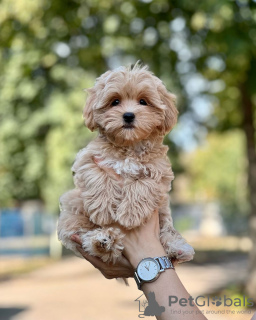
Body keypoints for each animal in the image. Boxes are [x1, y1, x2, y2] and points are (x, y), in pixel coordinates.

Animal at [57, 62, 194, 264]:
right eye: (115, 101)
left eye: (143, 101)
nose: (128, 115)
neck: (129, 146)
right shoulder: (89, 159)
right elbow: (97, 175)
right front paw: (104, 210)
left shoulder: (159, 171)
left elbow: (143, 184)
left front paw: (130, 214)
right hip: (73, 214)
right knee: (85, 237)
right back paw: (102, 241)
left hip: (163, 215)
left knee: (167, 232)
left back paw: (178, 249)